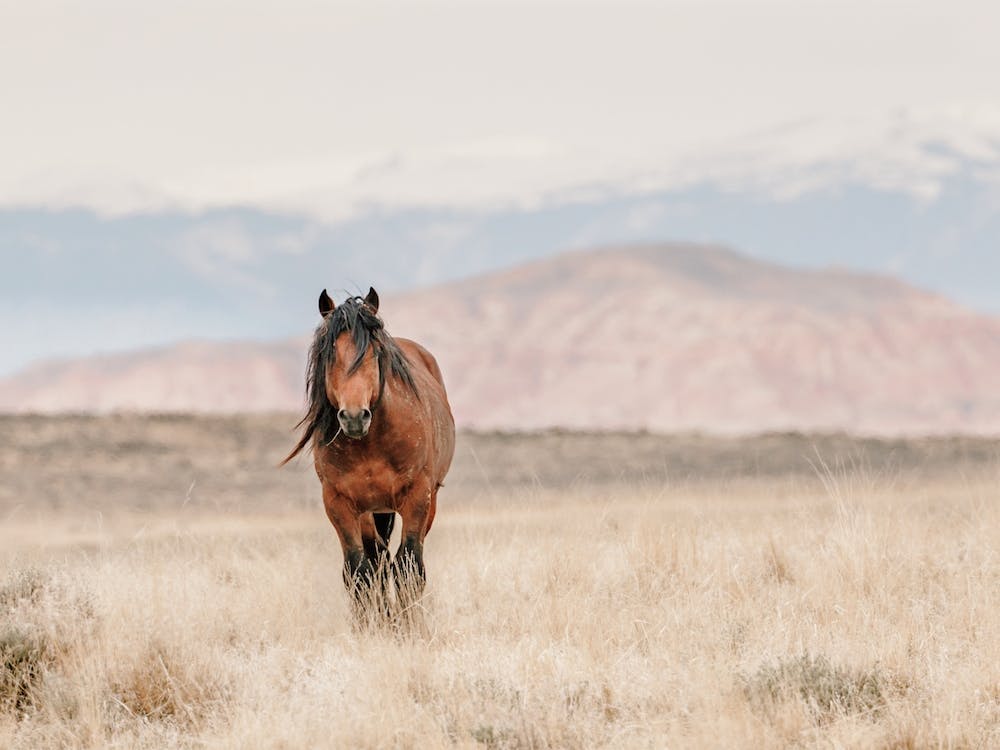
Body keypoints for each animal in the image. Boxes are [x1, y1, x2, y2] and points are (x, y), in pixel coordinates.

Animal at [282, 287, 455, 620]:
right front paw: (371, 625)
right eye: (330, 354)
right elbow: (358, 571)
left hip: (426, 503)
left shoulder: (418, 496)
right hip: (372, 512)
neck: (371, 444)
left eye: (375, 353)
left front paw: (408, 625)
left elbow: (409, 567)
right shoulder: (339, 503)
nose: (353, 417)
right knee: (377, 561)